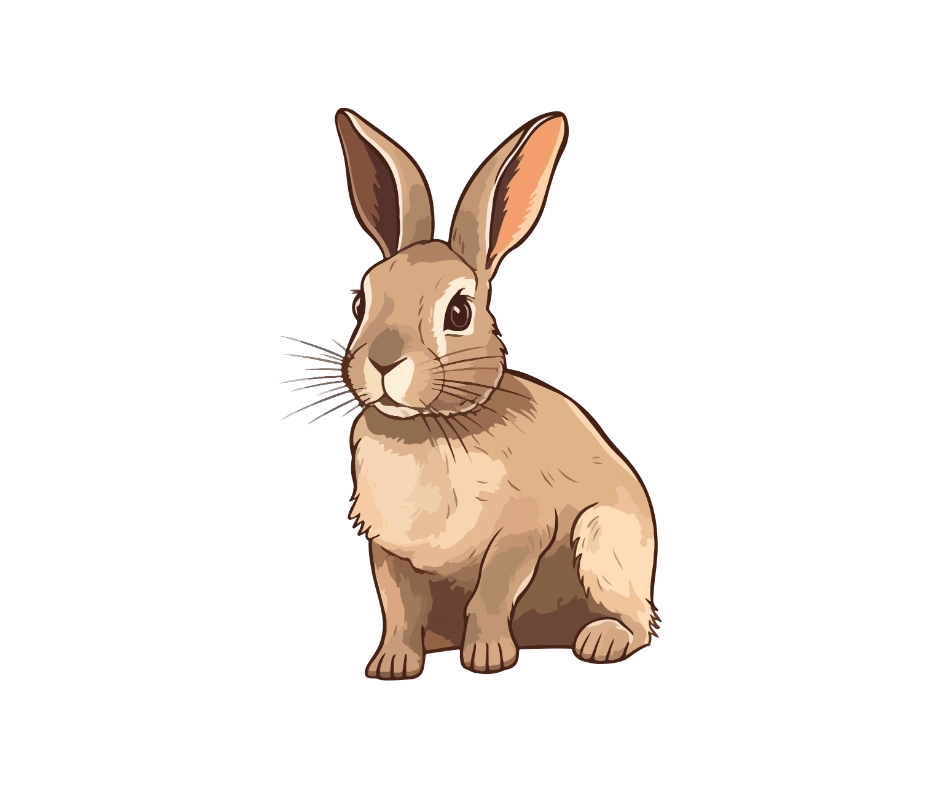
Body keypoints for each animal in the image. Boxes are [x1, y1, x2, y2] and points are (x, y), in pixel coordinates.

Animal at [335, 108, 661, 679]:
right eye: (360, 304)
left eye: (459, 312)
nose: (383, 362)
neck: (429, 428)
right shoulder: (389, 549)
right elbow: (400, 606)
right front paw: (392, 663)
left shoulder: (522, 532)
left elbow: (491, 594)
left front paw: (487, 657)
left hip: (604, 540)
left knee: (637, 621)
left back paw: (600, 641)